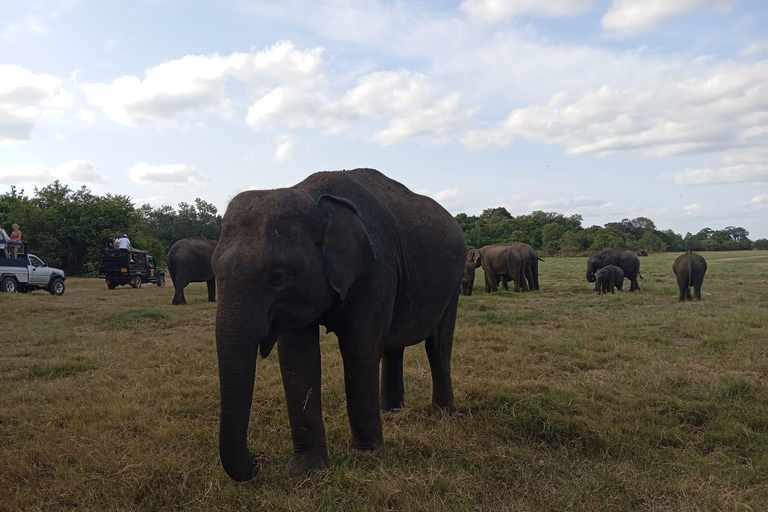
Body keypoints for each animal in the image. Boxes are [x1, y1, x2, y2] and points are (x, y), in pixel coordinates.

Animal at [210, 168, 464, 480]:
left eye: (279, 276)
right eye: (214, 271)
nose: (258, 461)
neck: (312, 195)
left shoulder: (375, 269)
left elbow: (359, 348)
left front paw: (366, 455)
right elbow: (297, 357)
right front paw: (305, 471)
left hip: (454, 281)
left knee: (437, 347)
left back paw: (442, 414)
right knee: (393, 345)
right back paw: (391, 412)